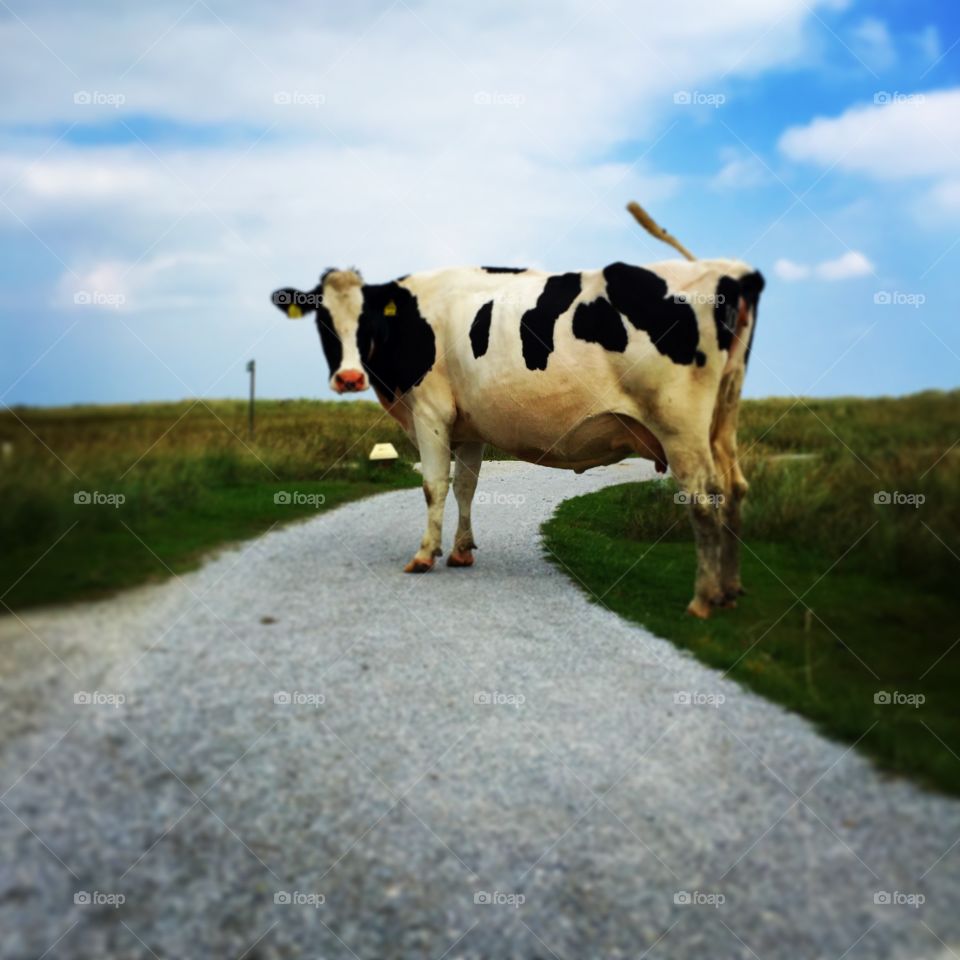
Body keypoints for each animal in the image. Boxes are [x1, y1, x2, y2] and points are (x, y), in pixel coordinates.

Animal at [272, 203, 764, 618]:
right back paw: (730, 591)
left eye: (369, 321)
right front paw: (461, 550)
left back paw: (703, 599)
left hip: (679, 424)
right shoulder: (469, 425)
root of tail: (724, 270)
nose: (349, 378)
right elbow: (466, 486)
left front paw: (425, 554)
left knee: (703, 496)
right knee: (734, 488)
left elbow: (434, 485)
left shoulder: (430, 412)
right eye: (323, 321)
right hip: (723, 418)